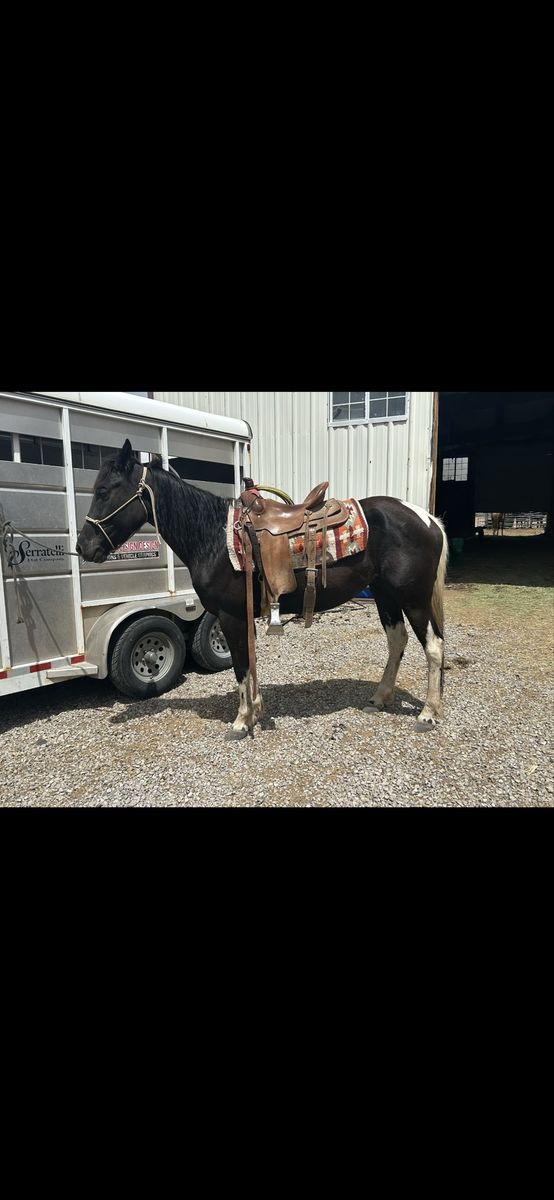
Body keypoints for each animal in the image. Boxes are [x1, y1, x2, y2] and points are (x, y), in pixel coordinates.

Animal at [76, 440, 449, 739]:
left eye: (104, 490)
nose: (83, 546)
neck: (213, 538)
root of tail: (427, 519)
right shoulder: (241, 615)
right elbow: (249, 662)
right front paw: (255, 709)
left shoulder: (230, 616)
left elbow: (241, 666)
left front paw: (242, 721)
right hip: (386, 595)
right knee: (397, 641)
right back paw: (381, 697)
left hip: (413, 598)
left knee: (433, 647)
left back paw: (428, 714)